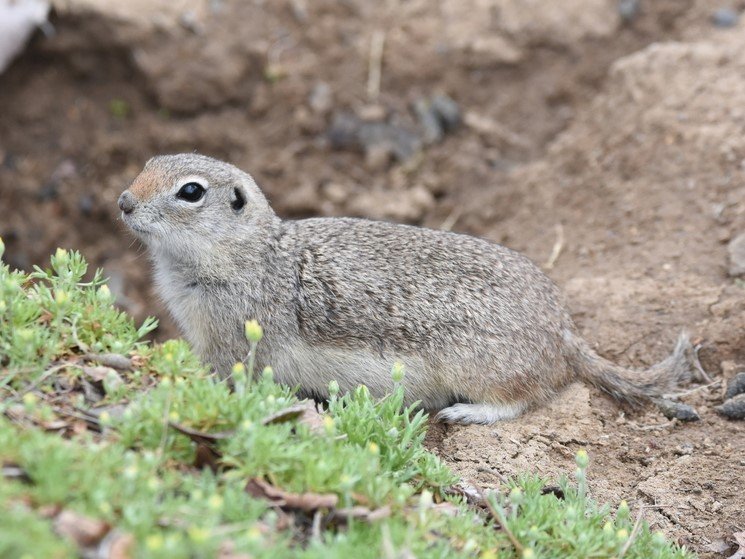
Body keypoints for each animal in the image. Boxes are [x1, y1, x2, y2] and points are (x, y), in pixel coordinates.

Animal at [118, 153, 693, 425]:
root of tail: (564, 333)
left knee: (523, 399)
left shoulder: (232, 342)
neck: (250, 253)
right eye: (146, 165)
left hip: (478, 366)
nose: (123, 201)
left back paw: (467, 412)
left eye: (190, 192)